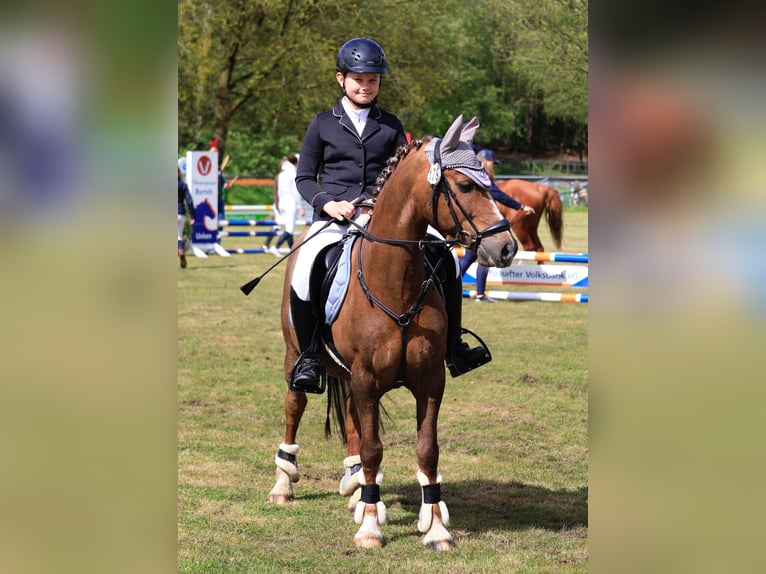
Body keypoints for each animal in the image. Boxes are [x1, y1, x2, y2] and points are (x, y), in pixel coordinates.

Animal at [266, 116, 517, 550]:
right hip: (296, 356)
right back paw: (286, 484)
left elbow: (427, 450)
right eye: (465, 186)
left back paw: (355, 488)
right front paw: (370, 527)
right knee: (294, 405)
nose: (506, 247)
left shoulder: (429, 381)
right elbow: (372, 448)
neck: (393, 284)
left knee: (351, 415)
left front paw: (436, 527)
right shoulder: (367, 378)